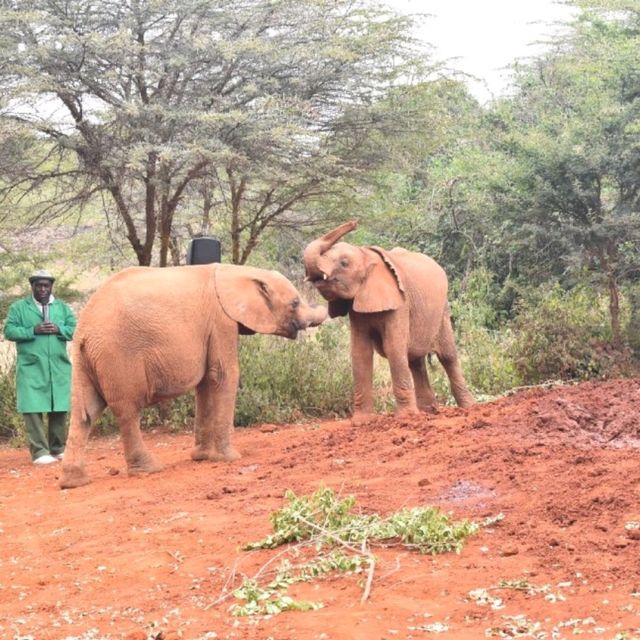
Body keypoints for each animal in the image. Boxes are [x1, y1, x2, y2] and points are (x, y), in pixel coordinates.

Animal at [58, 262, 330, 488]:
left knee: (85, 413)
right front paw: (229, 458)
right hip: (118, 356)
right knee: (127, 410)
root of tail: (83, 329)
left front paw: (202, 457)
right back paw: (148, 469)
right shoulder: (221, 321)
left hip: (85, 360)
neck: (237, 271)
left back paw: (74, 482)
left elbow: (206, 383)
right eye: (294, 303)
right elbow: (224, 375)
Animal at [304, 220, 476, 420]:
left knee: (448, 356)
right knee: (415, 360)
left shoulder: (401, 303)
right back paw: (428, 412)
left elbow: (393, 348)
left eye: (344, 263)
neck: (366, 255)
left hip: (442, 311)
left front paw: (406, 418)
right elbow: (360, 352)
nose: (354, 222)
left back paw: (468, 408)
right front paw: (362, 421)